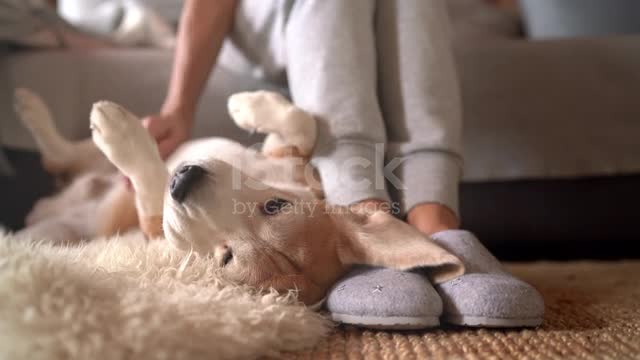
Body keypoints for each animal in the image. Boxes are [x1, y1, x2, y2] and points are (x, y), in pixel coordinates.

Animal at [12, 89, 462, 304]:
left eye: (225, 258)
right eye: (275, 205)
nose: (184, 180)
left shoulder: (157, 230)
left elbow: (152, 191)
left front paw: (124, 137)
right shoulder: (291, 160)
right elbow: (303, 125)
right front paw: (249, 104)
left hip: (63, 226)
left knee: (58, 162)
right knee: (60, 156)